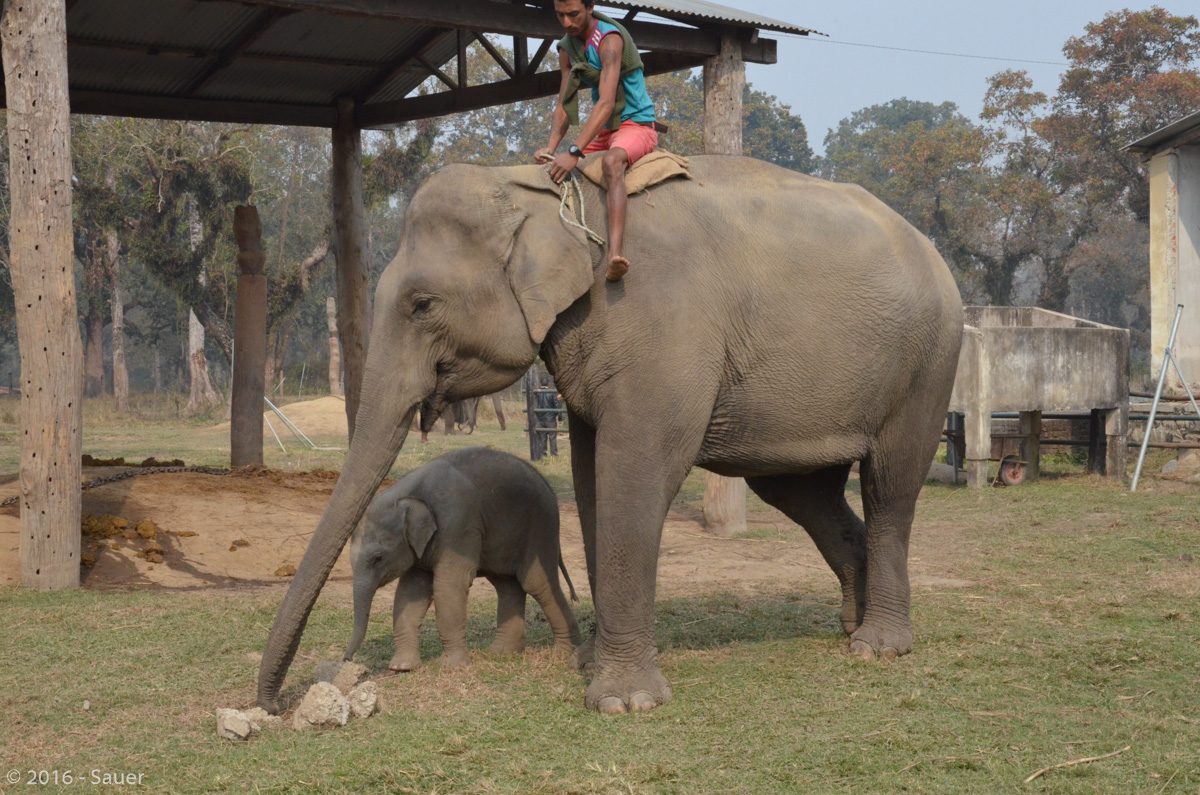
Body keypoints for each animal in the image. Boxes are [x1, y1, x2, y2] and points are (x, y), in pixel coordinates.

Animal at [343, 449, 580, 672]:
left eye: (378, 558)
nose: (346, 659)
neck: (410, 494)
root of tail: (547, 485)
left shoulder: (457, 523)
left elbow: (449, 586)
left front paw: (451, 666)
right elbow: (410, 592)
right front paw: (401, 667)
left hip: (540, 526)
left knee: (536, 583)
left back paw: (565, 654)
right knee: (506, 585)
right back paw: (502, 653)